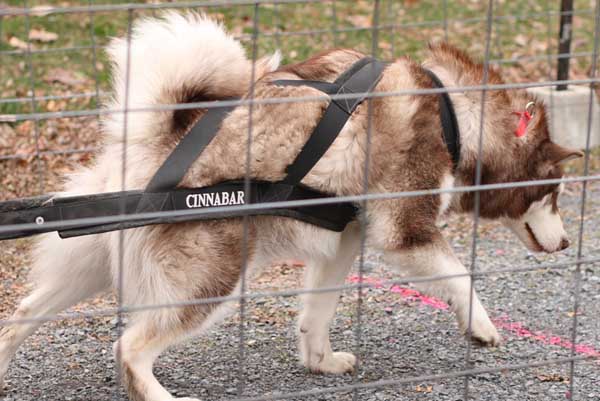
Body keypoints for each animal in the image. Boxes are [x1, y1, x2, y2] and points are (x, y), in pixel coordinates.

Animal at [0, 12, 580, 400]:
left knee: (22, 314)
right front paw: (480, 325)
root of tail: (152, 142)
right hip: (210, 280)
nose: (568, 243)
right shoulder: (405, 233)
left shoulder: (342, 243)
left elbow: (318, 310)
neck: (454, 111)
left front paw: (319, 360)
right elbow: (461, 275)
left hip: (89, 265)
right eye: (554, 193)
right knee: (129, 348)